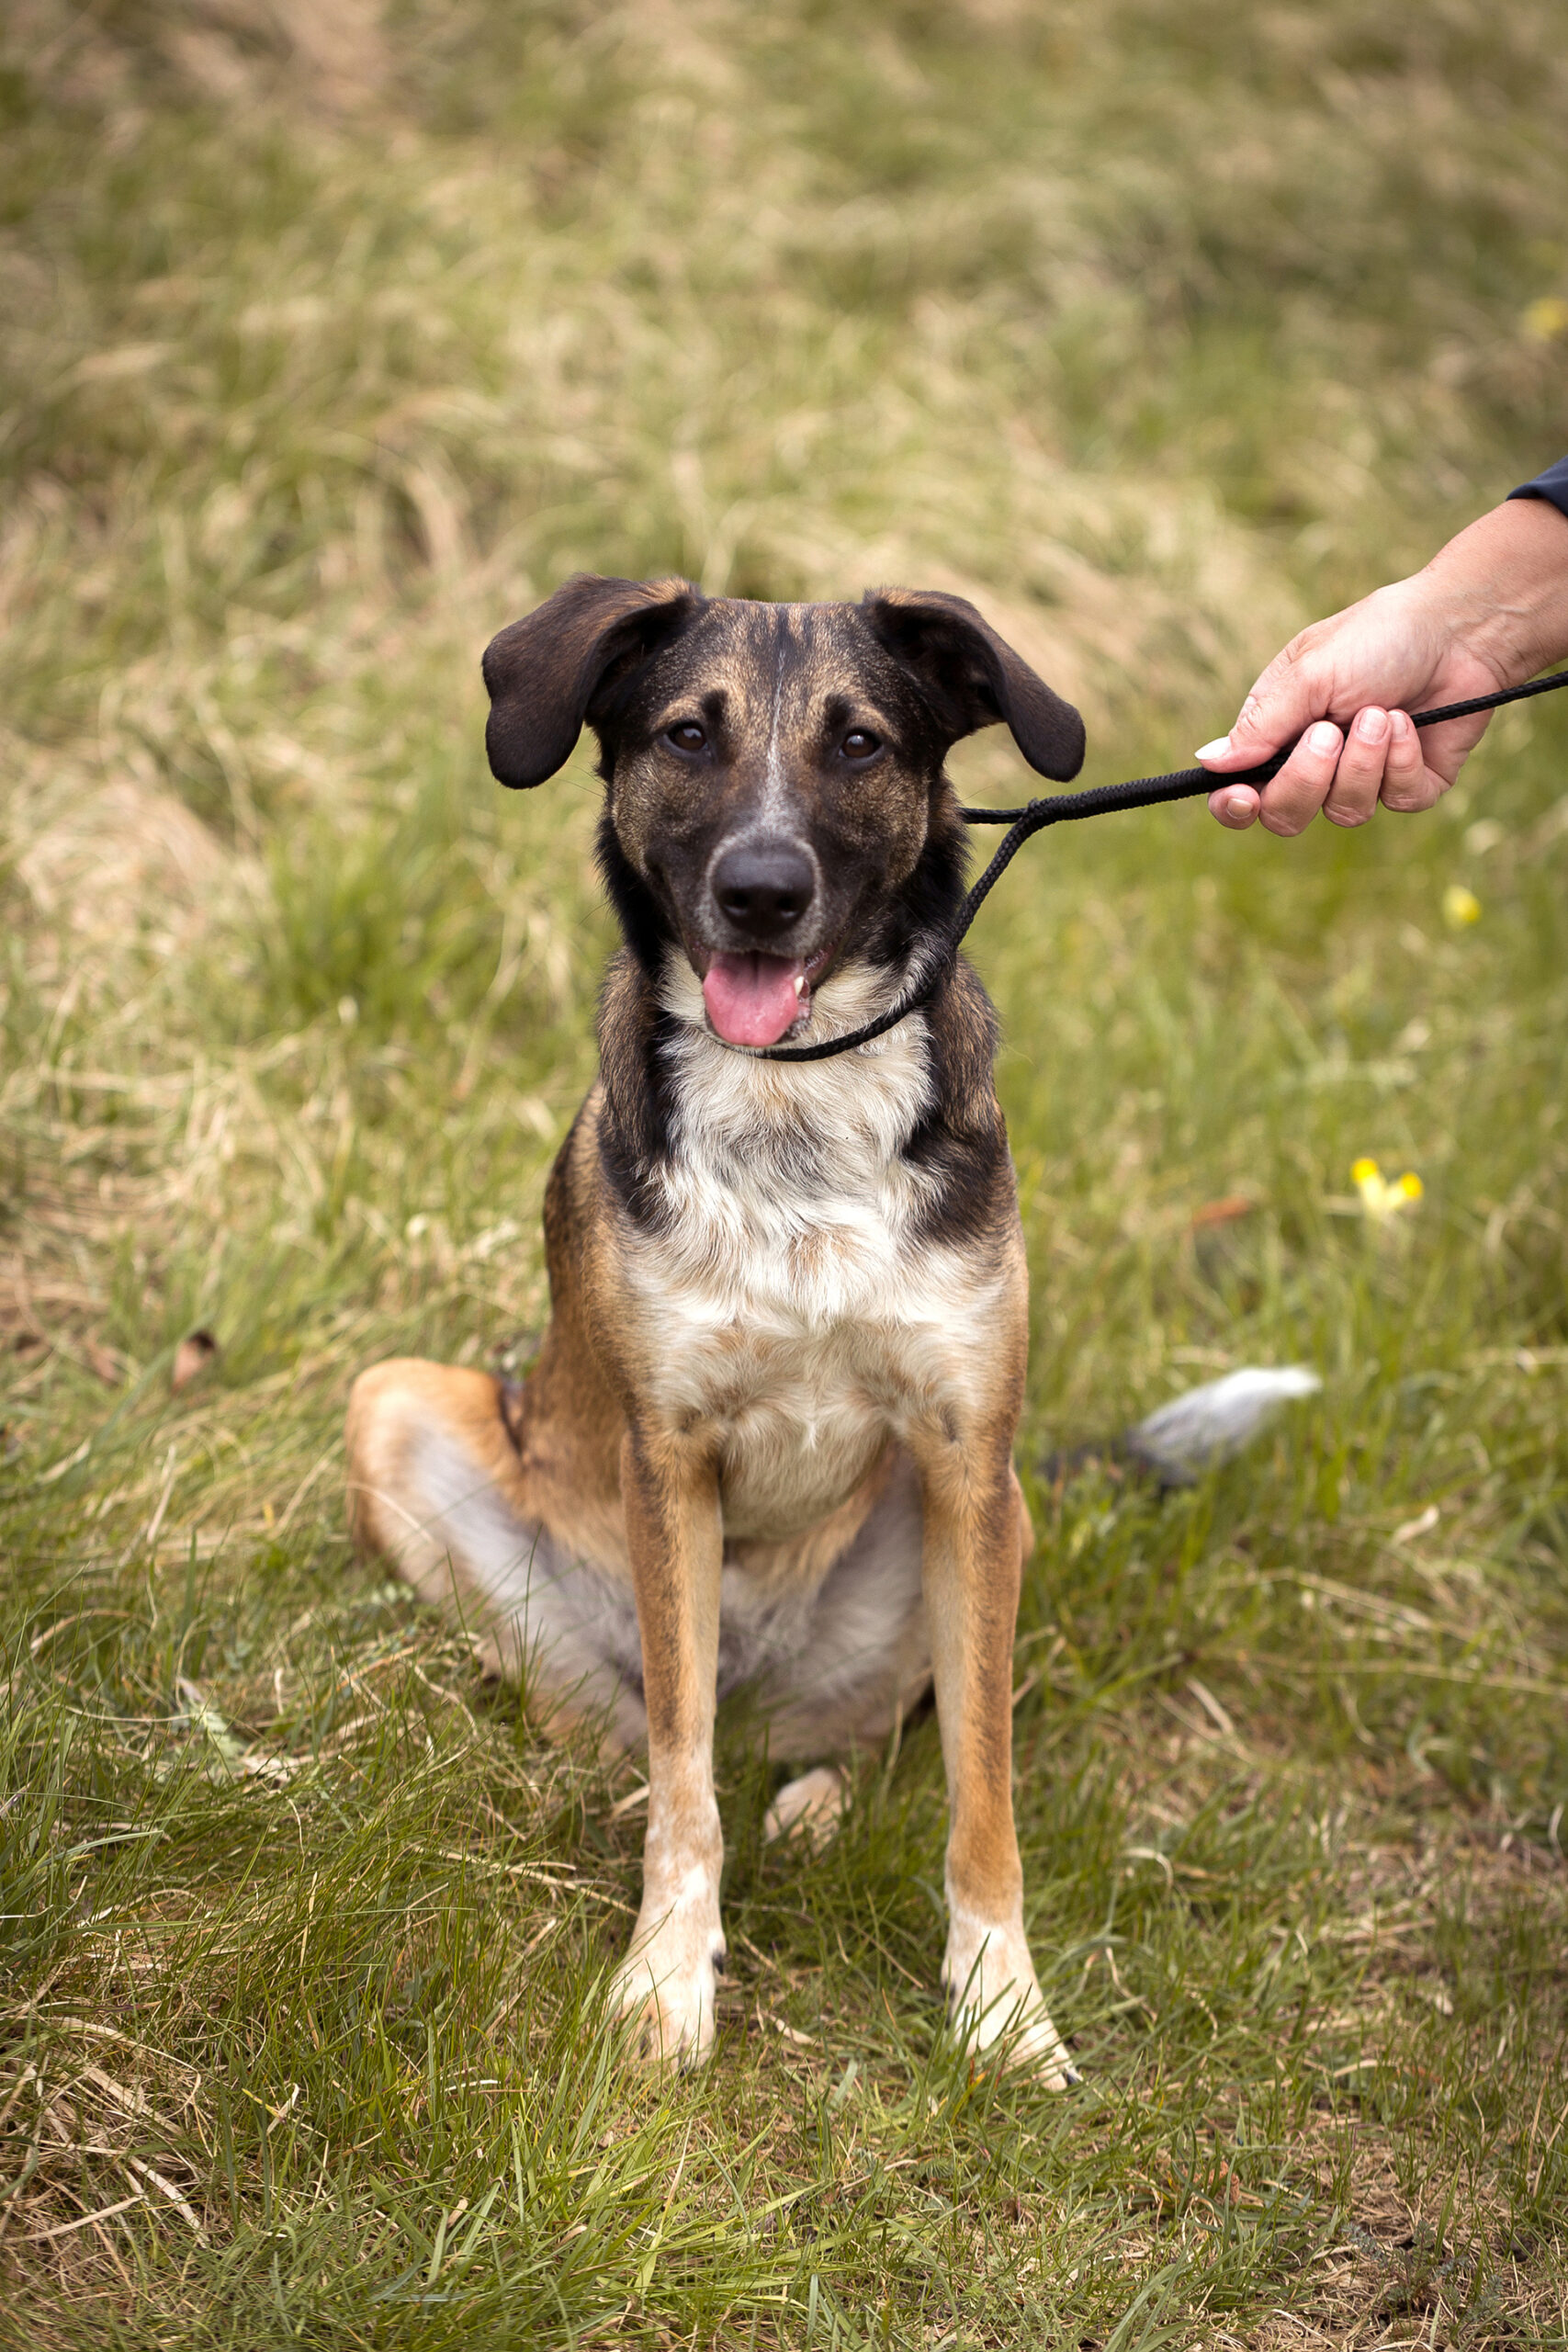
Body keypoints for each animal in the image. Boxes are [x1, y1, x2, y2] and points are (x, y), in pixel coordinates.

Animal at [345, 569, 1104, 2079]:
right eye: (688, 735)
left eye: (860, 742)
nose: (760, 892)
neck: (792, 1098)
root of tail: (769, 1685)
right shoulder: (670, 1453)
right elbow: (683, 1778)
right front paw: (665, 1982)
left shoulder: (964, 1448)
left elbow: (981, 1789)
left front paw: (1000, 2009)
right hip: (398, 1407)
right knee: (641, 1731)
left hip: (993, 1519)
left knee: (866, 1737)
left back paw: (812, 1806)